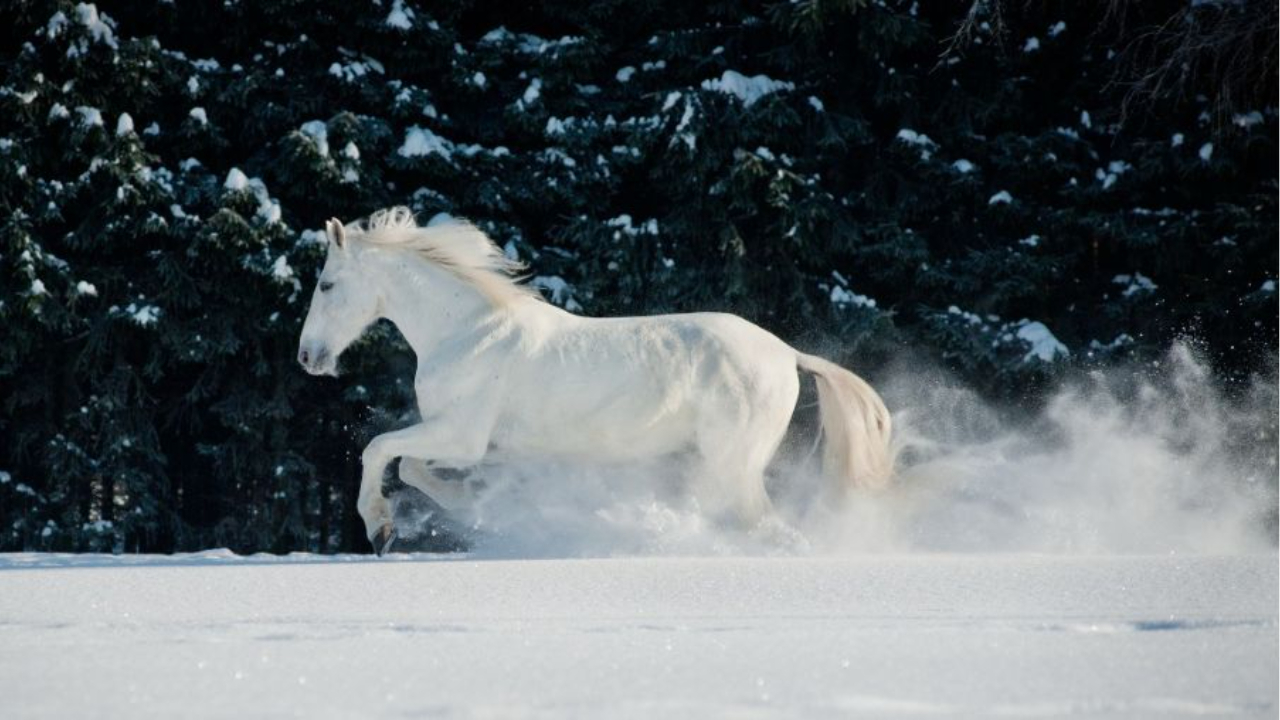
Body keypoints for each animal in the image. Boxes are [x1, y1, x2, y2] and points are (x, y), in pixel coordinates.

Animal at [297, 207, 893, 554]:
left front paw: (380, 528)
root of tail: (788, 354)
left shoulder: (460, 435)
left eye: (326, 284)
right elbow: (413, 468)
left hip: (734, 463)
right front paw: (468, 504)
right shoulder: (463, 441)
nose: (307, 357)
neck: (469, 332)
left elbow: (379, 449)